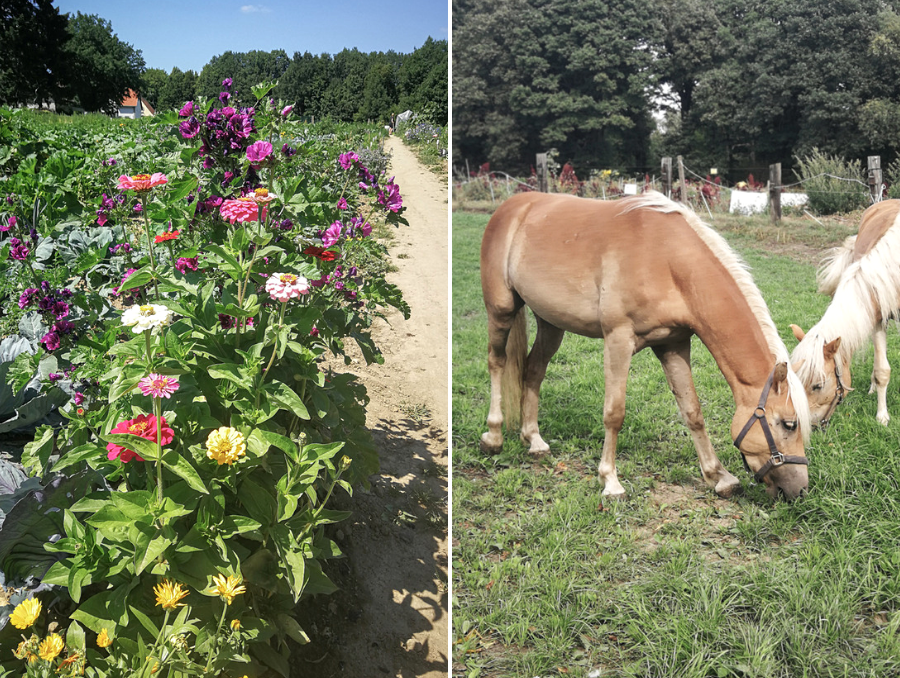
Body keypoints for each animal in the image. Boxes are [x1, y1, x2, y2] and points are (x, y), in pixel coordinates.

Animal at [482, 191, 812, 500]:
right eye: (789, 424)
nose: (800, 490)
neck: (668, 260)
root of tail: (512, 206)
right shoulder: (618, 339)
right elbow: (614, 413)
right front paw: (610, 481)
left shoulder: (673, 343)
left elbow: (692, 411)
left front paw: (718, 476)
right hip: (500, 311)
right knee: (496, 362)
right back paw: (494, 436)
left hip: (551, 324)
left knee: (533, 370)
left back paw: (534, 440)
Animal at [792, 199, 900, 428]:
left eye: (818, 385)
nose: (803, 425)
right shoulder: (877, 319)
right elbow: (882, 370)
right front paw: (882, 412)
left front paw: (881, 417)